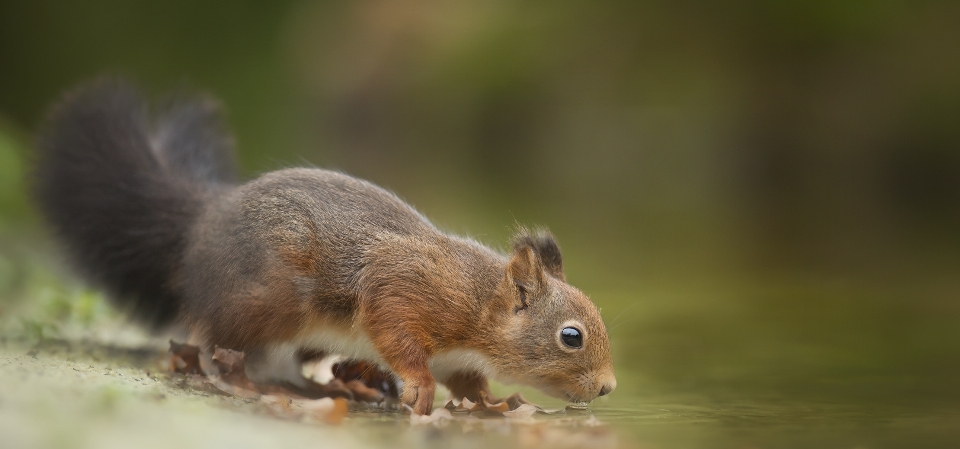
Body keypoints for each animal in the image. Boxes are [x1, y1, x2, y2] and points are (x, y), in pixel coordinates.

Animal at [33, 78, 620, 412]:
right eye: (571, 336)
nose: (609, 389)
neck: (480, 302)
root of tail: (202, 223)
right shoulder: (407, 287)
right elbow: (395, 329)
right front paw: (419, 386)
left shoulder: (460, 354)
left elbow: (468, 382)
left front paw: (492, 402)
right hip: (266, 300)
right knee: (216, 346)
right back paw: (257, 386)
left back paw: (351, 385)